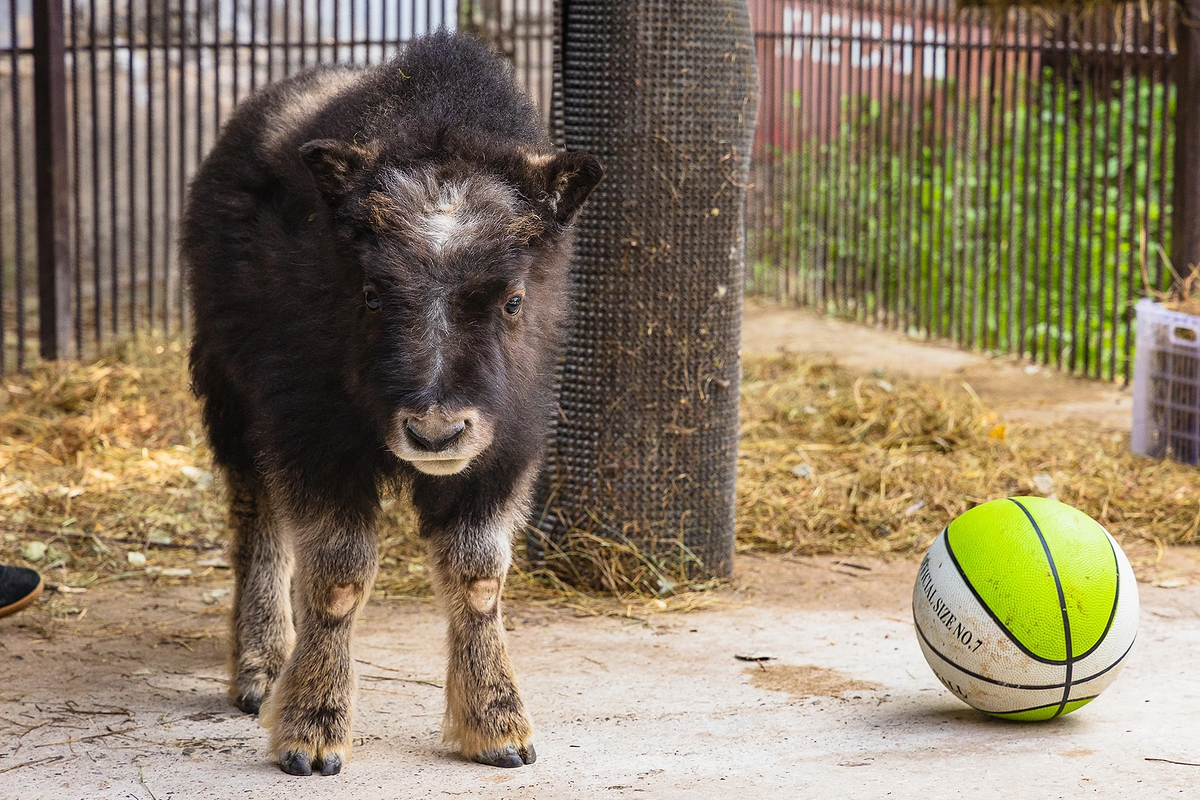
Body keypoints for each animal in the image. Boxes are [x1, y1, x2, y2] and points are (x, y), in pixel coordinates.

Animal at [181, 32, 600, 777]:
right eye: (372, 293)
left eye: (513, 298)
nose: (435, 434)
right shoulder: (313, 434)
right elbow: (338, 575)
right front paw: (311, 734)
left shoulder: (504, 448)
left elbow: (478, 576)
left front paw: (498, 728)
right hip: (231, 391)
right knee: (257, 518)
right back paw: (261, 667)